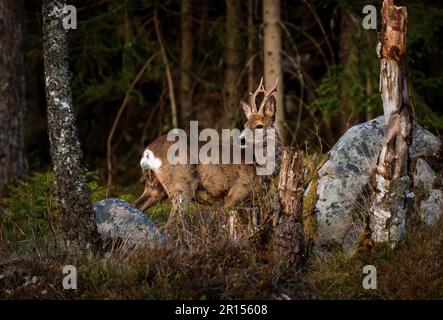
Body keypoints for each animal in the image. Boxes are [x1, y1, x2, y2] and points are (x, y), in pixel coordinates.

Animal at [134, 78, 282, 235]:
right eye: (246, 124)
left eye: (259, 125)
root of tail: (148, 152)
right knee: (169, 224)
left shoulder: (252, 201)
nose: (240, 139)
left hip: (155, 187)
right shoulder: (235, 193)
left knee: (137, 205)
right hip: (182, 185)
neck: (261, 168)